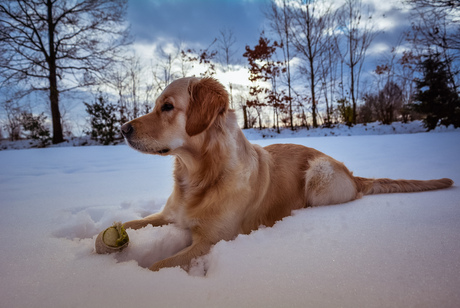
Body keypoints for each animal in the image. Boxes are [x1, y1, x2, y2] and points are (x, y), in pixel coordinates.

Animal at [120, 77, 454, 272]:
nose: (123, 129)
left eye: (167, 107)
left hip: (318, 176)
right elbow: (125, 224)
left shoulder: (212, 241)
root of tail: (352, 174)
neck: (200, 175)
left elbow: (156, 266)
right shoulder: (168, 215)